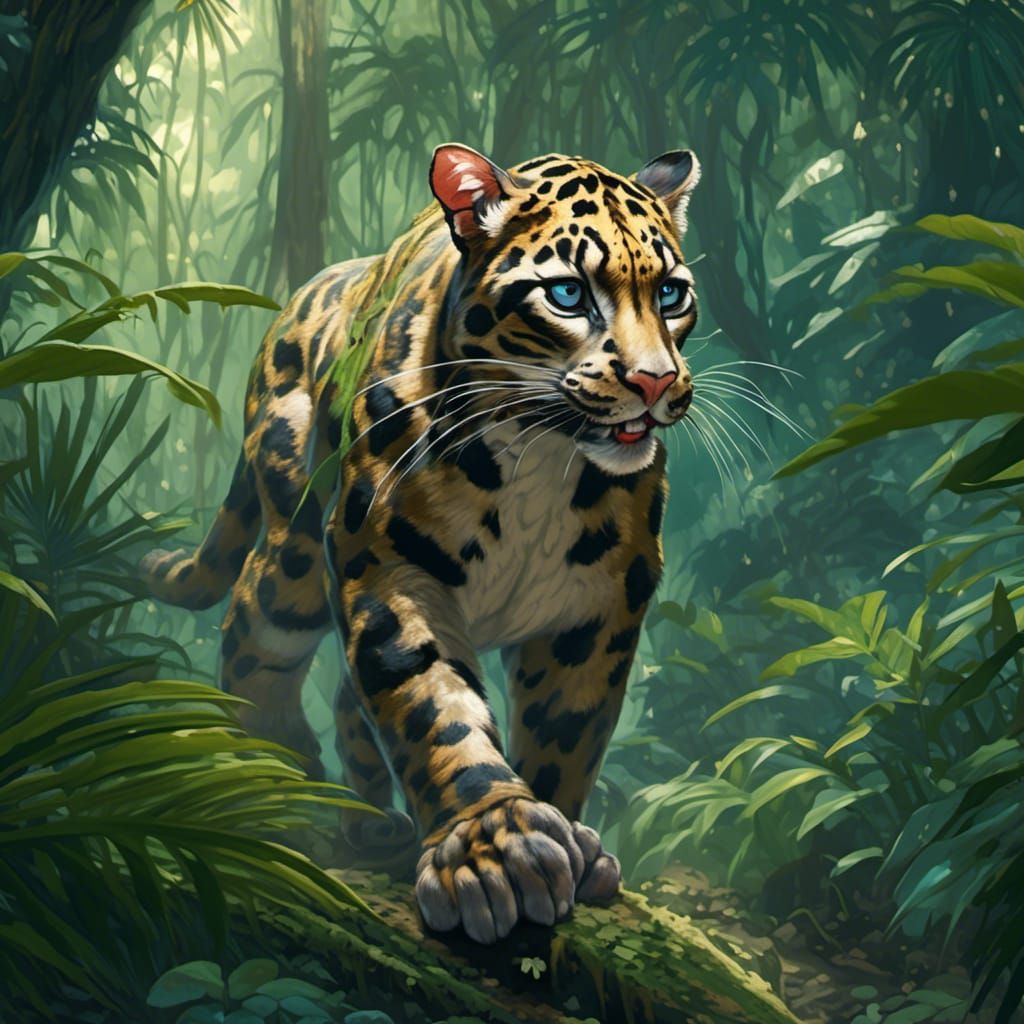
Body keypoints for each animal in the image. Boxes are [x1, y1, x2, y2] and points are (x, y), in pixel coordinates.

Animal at [141, 143, 700, 944]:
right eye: (567, 295)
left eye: (673, 295)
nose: (656, 382)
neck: (539, 458)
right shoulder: (386, 567)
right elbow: (431, 706)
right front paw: (496, 849)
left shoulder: (601, 607)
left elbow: (566, 735)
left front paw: (568, 839)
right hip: (295, 552)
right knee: (252, 632)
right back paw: (284, 775)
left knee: (344, 696)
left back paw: (369, 820)